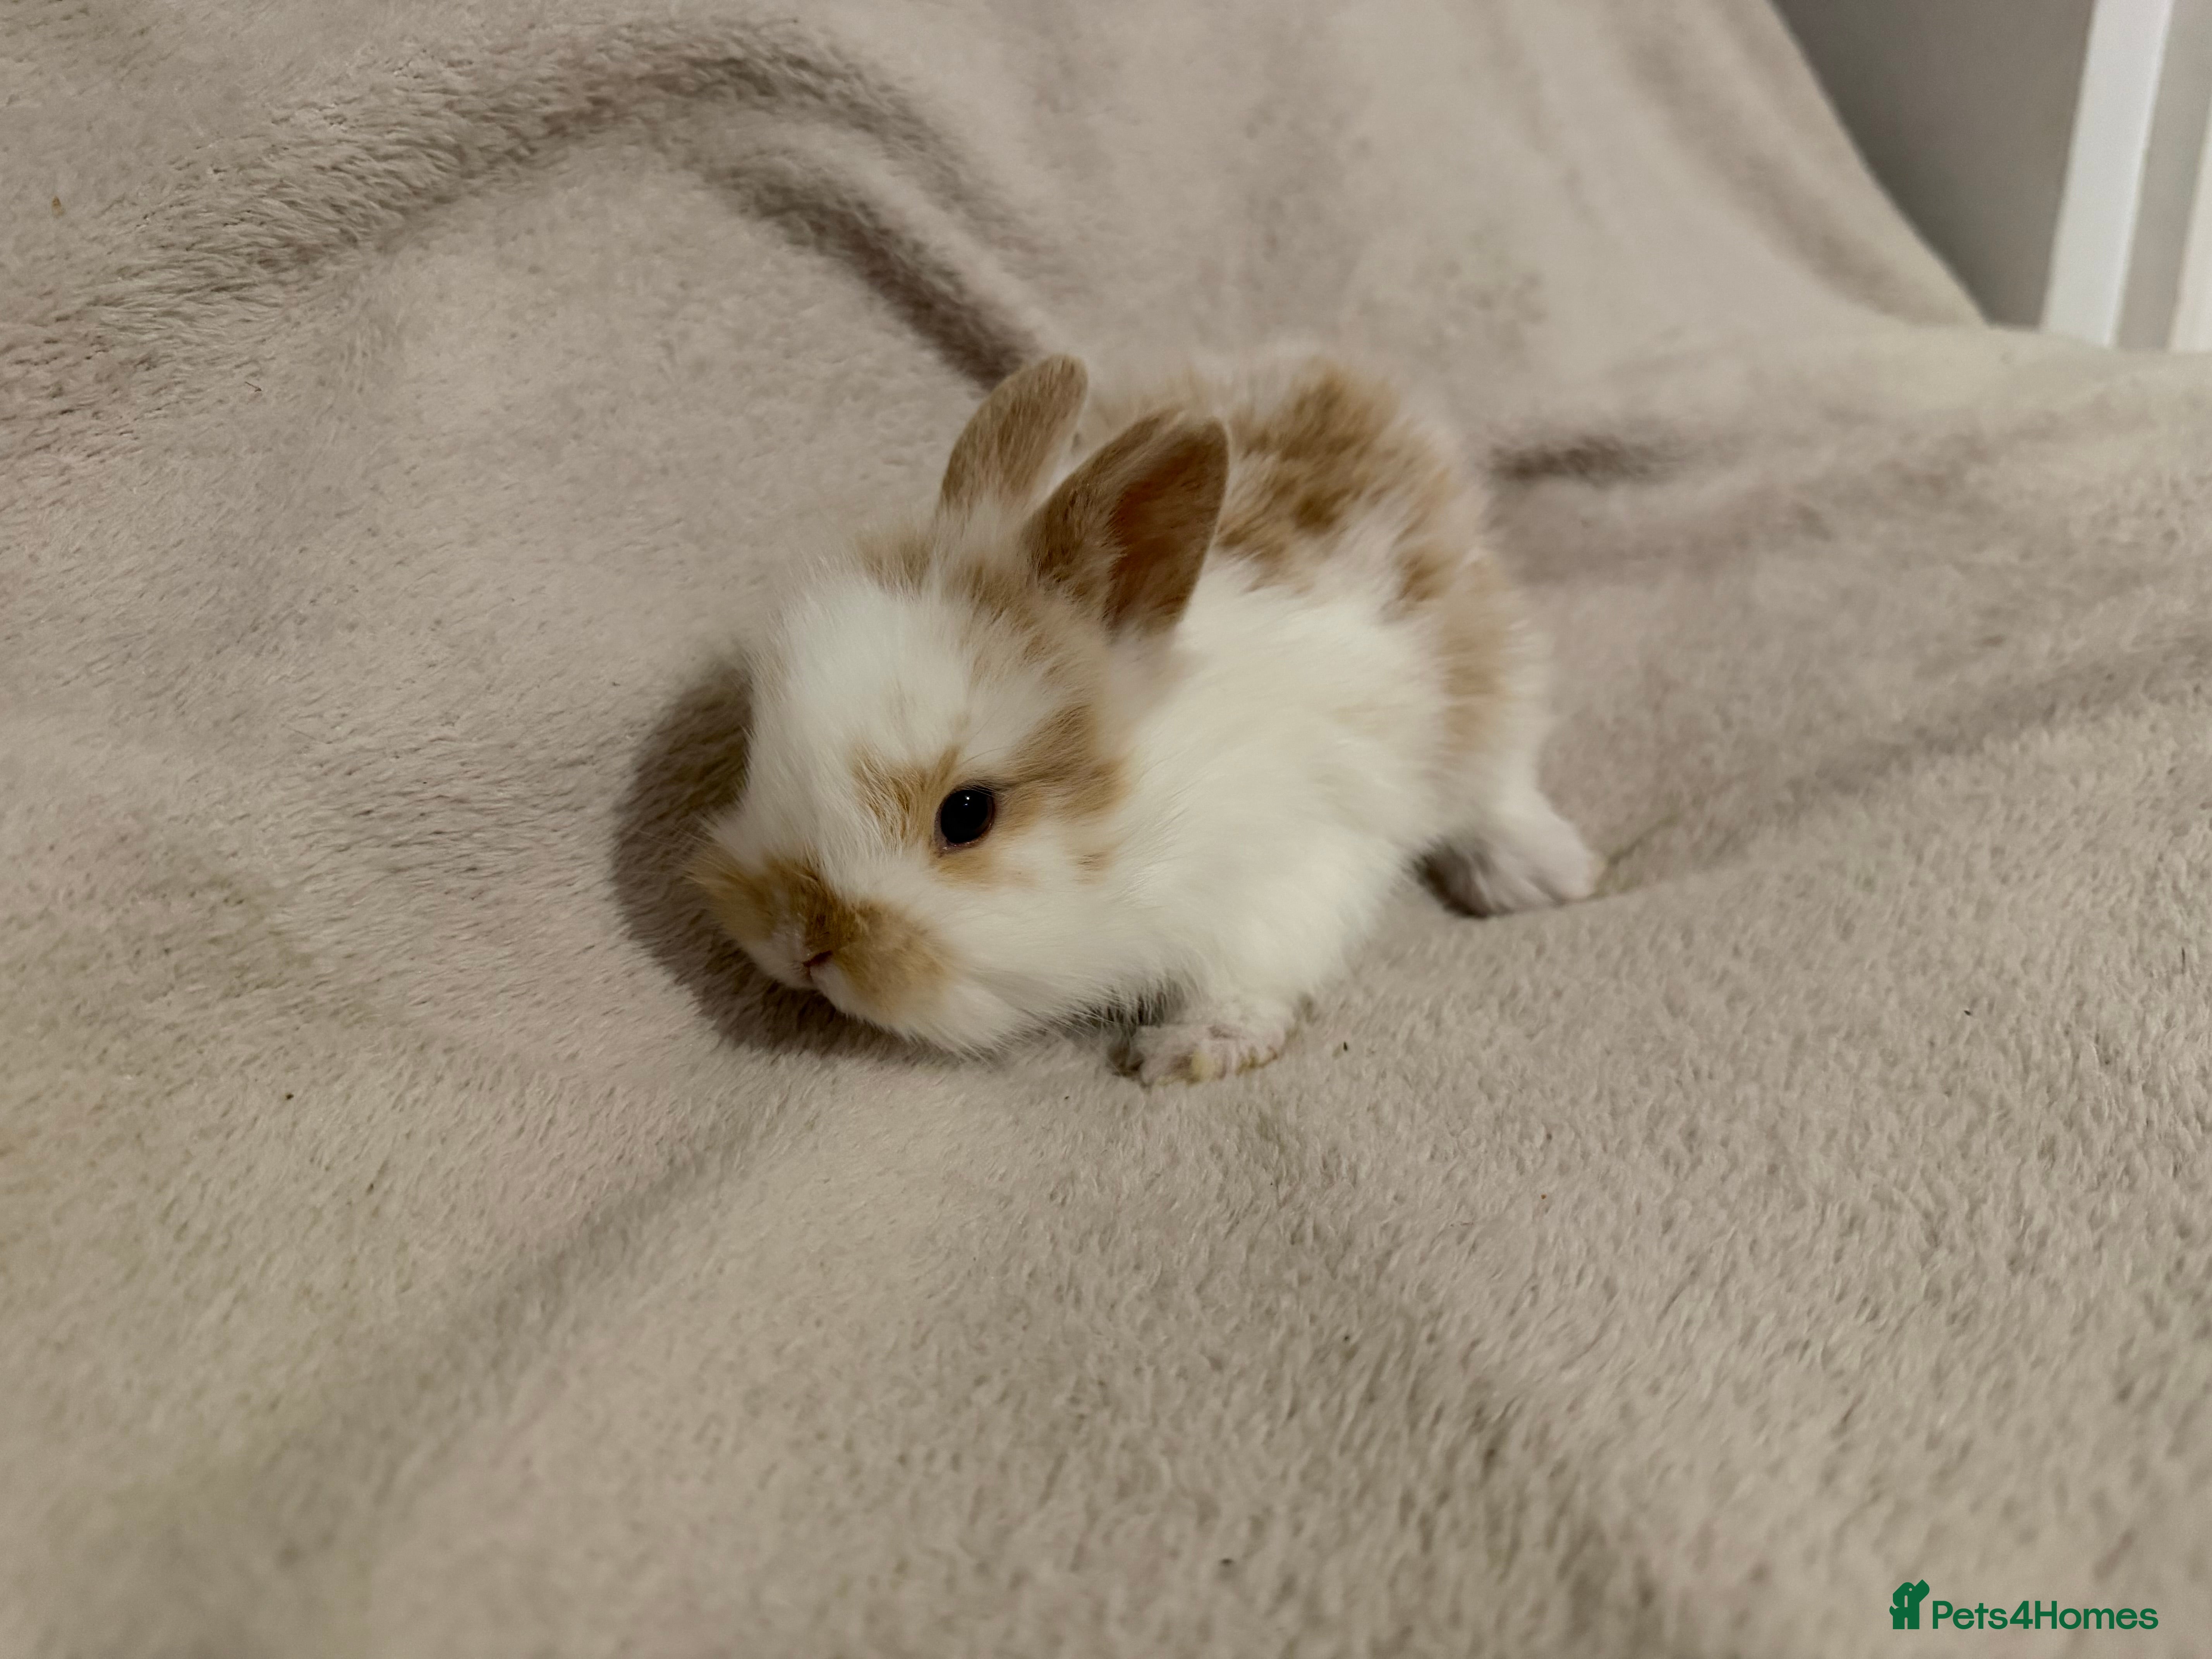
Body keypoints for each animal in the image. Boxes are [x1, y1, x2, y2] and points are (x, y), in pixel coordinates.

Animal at [689, 345, 1598, 1084]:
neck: (1153, 802)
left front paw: (1188, 1051)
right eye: (760, 749)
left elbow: (1250, 976)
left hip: (1487, 680)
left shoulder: (1291, 875)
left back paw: (1544, 876)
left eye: (967, 814)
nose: (802, 942)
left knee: (1500, 778)